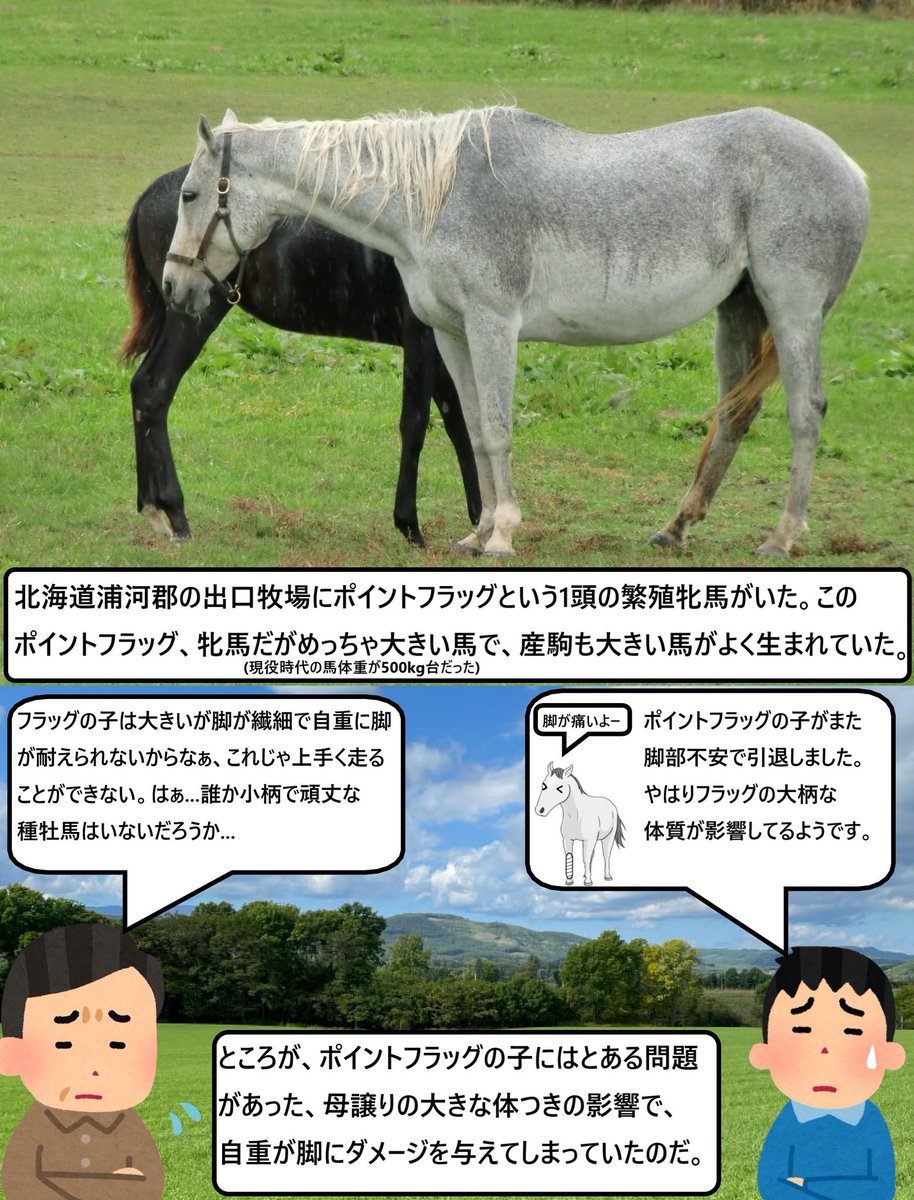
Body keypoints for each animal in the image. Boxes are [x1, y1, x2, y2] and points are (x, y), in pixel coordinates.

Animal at [123, 165, 481, 545]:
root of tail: (149, 195)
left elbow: (462, 424)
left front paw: (481, 521)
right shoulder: (420, 338)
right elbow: (415, 424)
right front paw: (410, 525)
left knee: (142, 388)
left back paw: (153, 507)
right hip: (192, 314)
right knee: (155, 389)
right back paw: (174, 512)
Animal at [162, 105, 869, 557]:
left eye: (190, 195)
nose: (173, 286)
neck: (438, 197)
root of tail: (848, 166)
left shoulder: (492, 326)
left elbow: (498, 431)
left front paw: (501, 534)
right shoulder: (451, 336)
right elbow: (474, 430)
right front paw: (475, 535)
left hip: (792, 310)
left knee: (806, 413)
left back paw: (783, 537)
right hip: (739, 313)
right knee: (734, 416)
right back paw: (675, 530)